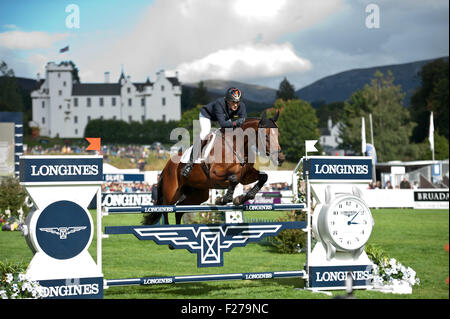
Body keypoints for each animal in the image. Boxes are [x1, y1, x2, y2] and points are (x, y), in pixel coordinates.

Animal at [142, 111, 286, 226]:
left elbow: (263, 177)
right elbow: (234, 179)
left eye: (278, 135)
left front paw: (242, 197)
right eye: (266, 136)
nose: (281, 158)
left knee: (180, 209)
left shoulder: (246, 177)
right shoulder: (215, 174)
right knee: (166, 209)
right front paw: (222, 199)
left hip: (198, 194)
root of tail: (166, 167)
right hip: (172, 192)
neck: (237, 145)